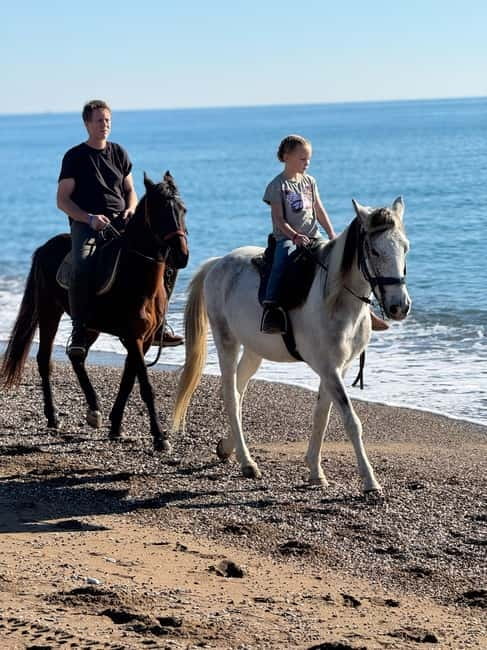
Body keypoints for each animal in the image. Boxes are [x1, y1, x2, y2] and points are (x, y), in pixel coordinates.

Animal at [1, 172, 188, 451]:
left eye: (183, 209)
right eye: (159, 210)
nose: (181, 255)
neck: (136, 276)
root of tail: (44, 248)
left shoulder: (143, 340)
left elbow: (128, 379)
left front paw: (116, 426)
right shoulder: (133, 336)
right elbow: (145, 385)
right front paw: (159, 437)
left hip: (90, 326)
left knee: (77, 357)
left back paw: (94, 409)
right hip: (49, 311)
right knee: (45, 360)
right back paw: (53, 417)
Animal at [172, 197, 410, 495]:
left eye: (405, 248)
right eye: (376, 252)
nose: (400, 307)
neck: (337, 300)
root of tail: (218, 264)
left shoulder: (338, 368)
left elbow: (322, 415)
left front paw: (315, 472)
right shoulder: (328, 368)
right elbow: (350, 420)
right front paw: (369, 481)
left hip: (254, 351)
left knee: (238, 391)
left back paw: (228, 448)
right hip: (226, 340)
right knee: (230, 394)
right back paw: (247, 463)